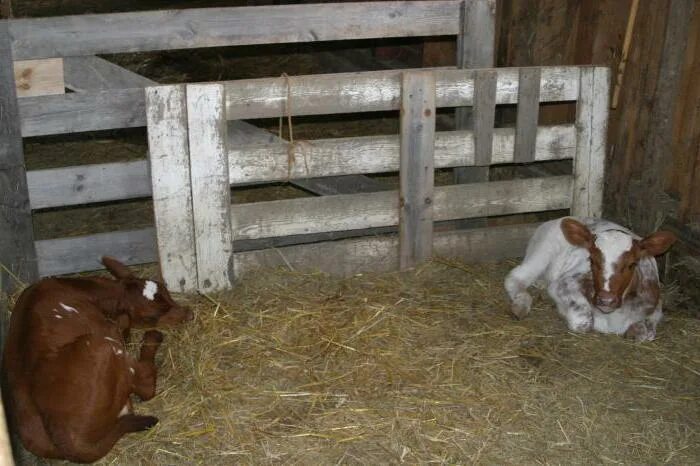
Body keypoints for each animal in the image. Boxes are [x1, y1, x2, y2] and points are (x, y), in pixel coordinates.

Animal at [1, 256, 193, 464]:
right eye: (151, 316)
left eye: (165, 289)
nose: (189, 313)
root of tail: (66, 439)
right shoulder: (108, 330)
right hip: (102, 346)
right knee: (146, 385)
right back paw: (152, 338)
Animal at [506, 217, 676, 340]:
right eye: (592, 260)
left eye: (632, 264)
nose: (606, 300)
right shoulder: (563, 283)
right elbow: (583, 321)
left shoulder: (655, 301)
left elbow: (647, 332)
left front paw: (637, 329)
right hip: (542, 250)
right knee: (516, 277)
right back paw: (520, 305)